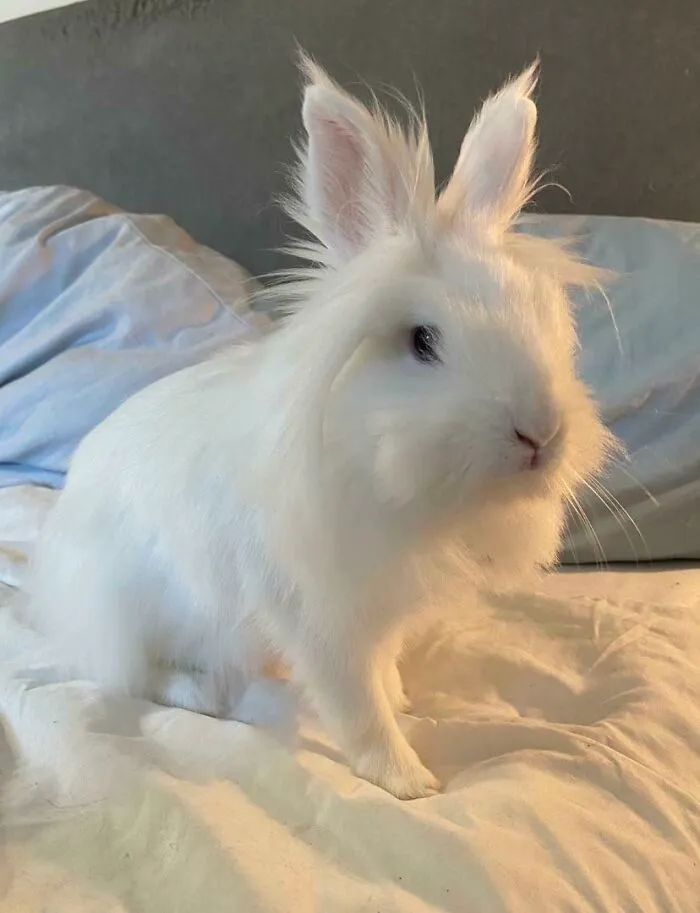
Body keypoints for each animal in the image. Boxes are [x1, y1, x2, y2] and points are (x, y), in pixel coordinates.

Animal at [26, 56, 614, 800]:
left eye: (546, 319)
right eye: (422, 340)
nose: (540, 433)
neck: (380, 476)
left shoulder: (382, 611)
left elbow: (381, 673)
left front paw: (404, 701)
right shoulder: (317, 616)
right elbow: (354, 704)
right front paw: (408, 780)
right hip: (128, 609)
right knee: (134, 672)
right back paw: (201, 695)